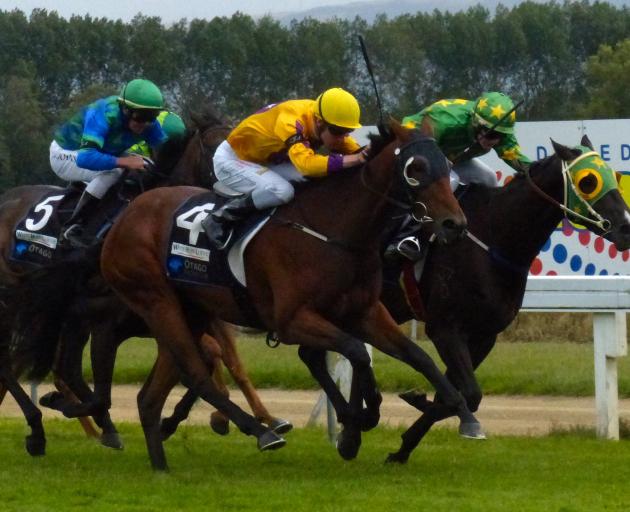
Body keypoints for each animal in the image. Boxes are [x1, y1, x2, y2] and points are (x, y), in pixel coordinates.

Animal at [101, 119, 478, 468]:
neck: (333, 230)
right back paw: (262, 432)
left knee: (150, 397)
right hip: (157, 301)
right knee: (194, 371)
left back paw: (161, 466)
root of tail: (127, 214)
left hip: (189, 310)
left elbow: (416, 356)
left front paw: (460, 412)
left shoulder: (364, 311)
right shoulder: (292, 320)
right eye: (416, 168)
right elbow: (356, 352)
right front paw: (358, 423)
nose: (454, 224)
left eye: (446, 164)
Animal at [382, 137, 630, 464]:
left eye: (615, 175)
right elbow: (468, 394)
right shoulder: (445, 328)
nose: (627, 227)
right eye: (588, 181)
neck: (494, 236)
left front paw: (404, 444)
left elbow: (460, 393)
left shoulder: (484, 334)